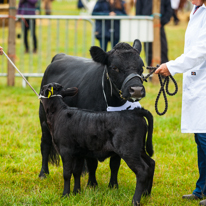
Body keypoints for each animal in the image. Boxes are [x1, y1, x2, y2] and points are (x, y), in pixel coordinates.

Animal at [39, 39, 146, 189]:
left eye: (142, 67)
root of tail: (60, 56)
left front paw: (113, 185)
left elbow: (115, 162)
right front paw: (92, 184)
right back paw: (43, 173)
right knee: (45, 144)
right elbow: (92, 163)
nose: (136, 90)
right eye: (114, 67)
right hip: (44, 120)